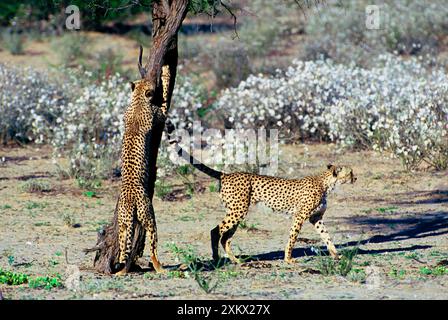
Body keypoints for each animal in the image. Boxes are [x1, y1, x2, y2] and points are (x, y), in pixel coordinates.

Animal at [164, 121, 356, 264]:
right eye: (350, 172)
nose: (356, 178)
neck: (326, 183)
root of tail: (226, 174)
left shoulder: (316, 218)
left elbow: (327, 237)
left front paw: (336, 255)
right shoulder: (300, 216)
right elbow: (292, 237)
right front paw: (288, 259)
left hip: (236, 211)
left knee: (226, 238)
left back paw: (235, 260)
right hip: (238, 210)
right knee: (215, 231)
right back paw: (216, 259)